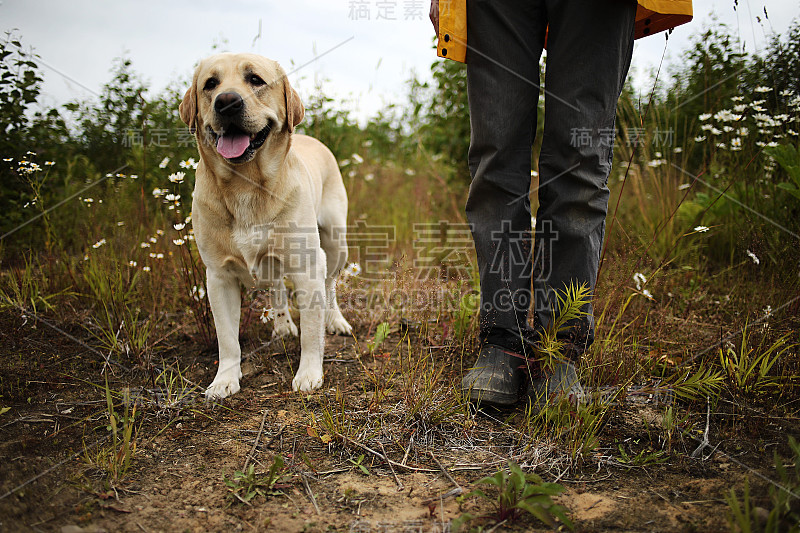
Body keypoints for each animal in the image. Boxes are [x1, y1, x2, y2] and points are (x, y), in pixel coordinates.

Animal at [181, 53, 350, 400]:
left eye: (255, 80)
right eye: (210, 84)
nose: (226, 102)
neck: (245, 185)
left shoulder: (307, 266)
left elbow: (311, 331)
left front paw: (309, 373)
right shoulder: (218, 277)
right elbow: (227, 338)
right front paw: (224, 380)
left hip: (335, 243)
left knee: (330, 285)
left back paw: (336, 320)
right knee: (276, 287)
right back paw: (283, 324)